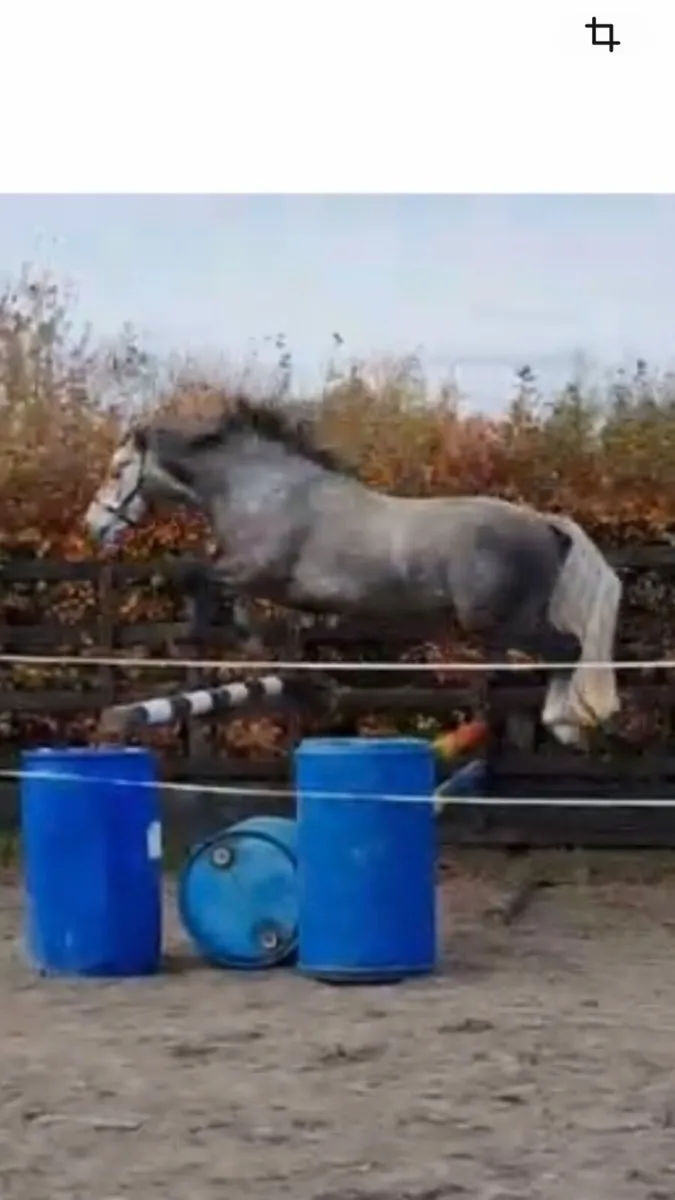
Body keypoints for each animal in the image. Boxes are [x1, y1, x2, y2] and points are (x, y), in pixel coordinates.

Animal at [84, 396, 622, 748]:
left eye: (116, 470)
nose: (93, 525)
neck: (263, 489)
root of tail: (545, 523)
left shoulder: (253, 572)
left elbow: (201, 579)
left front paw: (206, 636)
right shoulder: (279, 593)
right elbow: (266, 623)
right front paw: (299, 677)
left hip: (499, 622)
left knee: (567, 649)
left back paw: (564, 725)